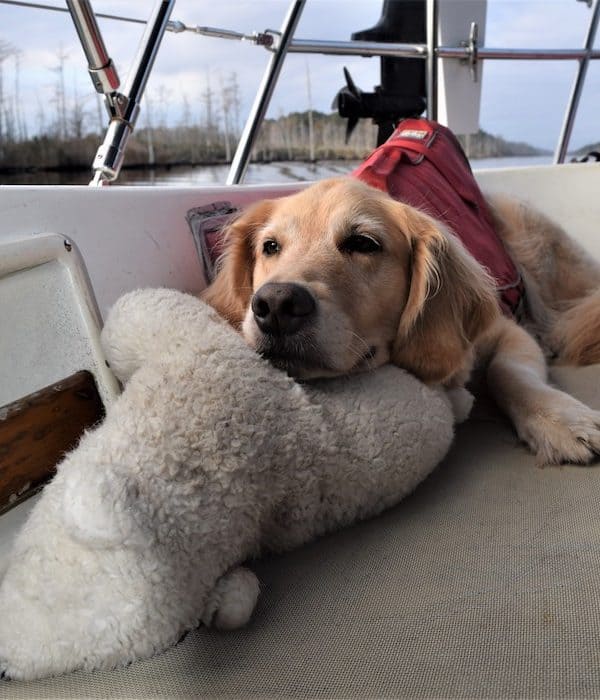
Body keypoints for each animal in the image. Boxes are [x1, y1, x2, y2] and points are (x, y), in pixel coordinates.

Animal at [203, 178, 600, 468]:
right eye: (270, 246)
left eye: (364, 243)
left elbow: (506, 371)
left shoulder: (508, 330)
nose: (276, 305)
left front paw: (563, 421)